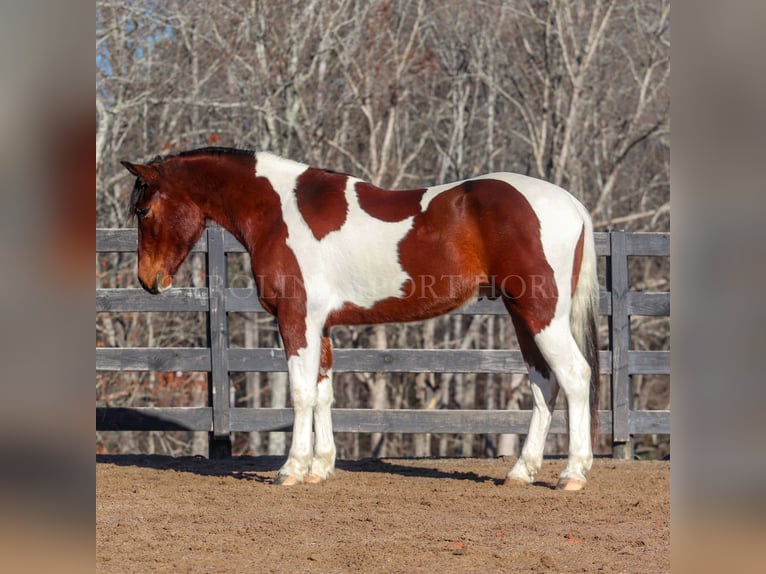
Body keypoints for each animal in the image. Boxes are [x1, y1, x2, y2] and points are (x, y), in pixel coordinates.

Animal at [121, 147, 600, 490]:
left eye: (143, 211)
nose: (148, 280)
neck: (278, 212)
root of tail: (572, 205)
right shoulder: (321, 326)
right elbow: (323, 393)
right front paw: (320, 467)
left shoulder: (297, 320)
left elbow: (301, 393)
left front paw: (291, 469)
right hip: (522, 315)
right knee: (544, 383)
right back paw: (522, 471)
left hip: (541, 313)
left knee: (576, 376)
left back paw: (572, 474)